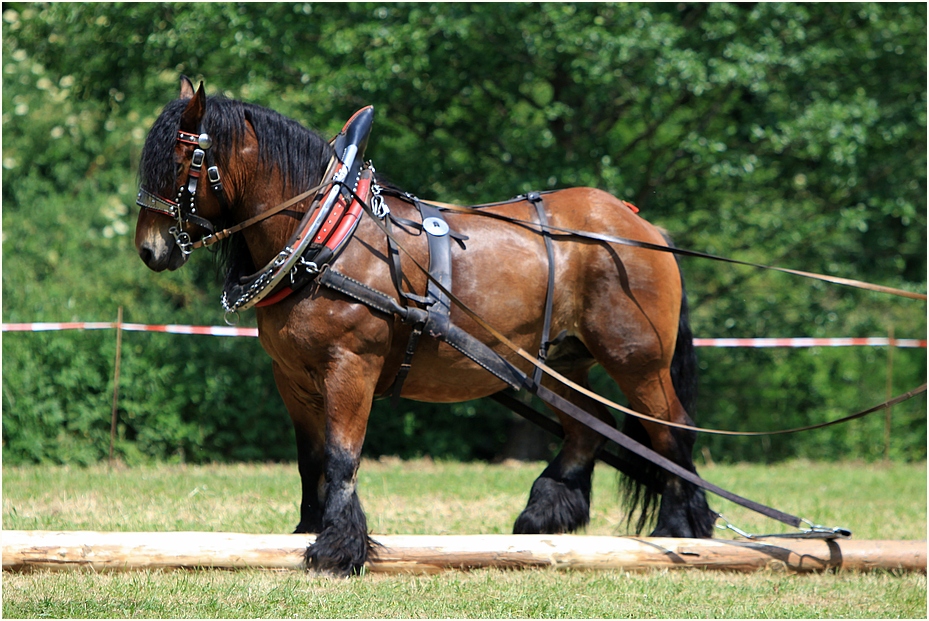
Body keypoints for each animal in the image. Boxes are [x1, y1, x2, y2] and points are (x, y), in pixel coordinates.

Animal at [134, 78, 716, 576]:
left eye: (183, 159)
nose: (149, 249)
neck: (325, 237)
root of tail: (642, 226)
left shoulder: (351, 367)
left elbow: (342, 457)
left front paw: (338, 547)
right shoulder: (293, 378)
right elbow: (310, 459)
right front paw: (306, 530)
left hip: (637, 360)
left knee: (671, 430)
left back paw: (682, 527)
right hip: (559, 361)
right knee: (588, 428)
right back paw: (541, 517)